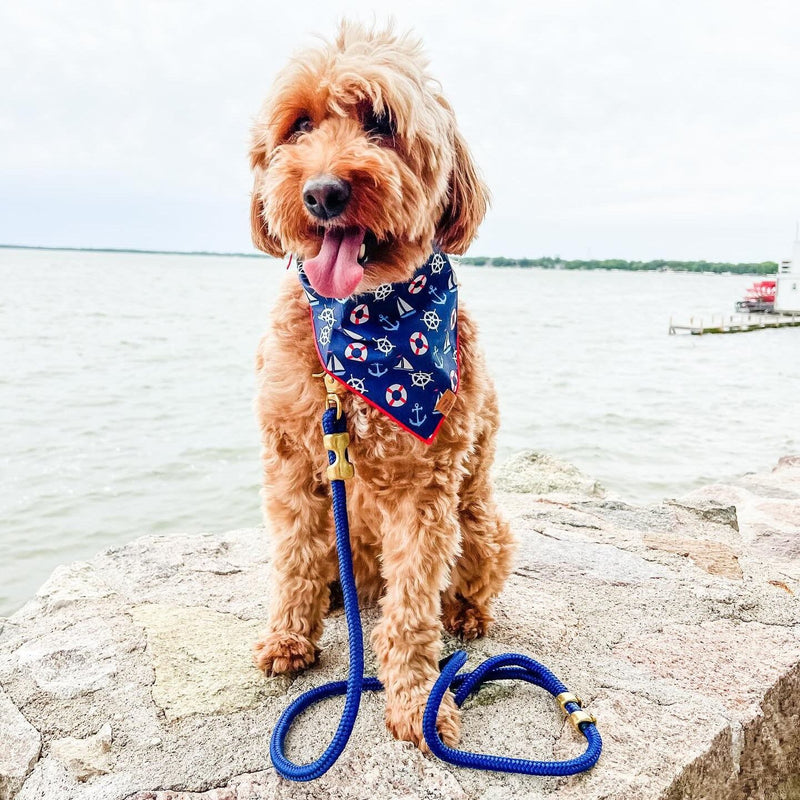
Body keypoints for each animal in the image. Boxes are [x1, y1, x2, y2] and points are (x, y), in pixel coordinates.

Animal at [247, 20, 516, 752]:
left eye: (382, 123)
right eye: (300, 124)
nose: (322, 193)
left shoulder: (426, 487)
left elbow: (414, 602)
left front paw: (418, 700)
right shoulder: (291, 459)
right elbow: (294, 556)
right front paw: (289, 638)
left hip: (480, 521)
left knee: (467, 577)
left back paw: (468, 616)